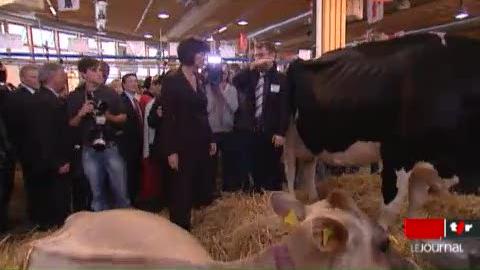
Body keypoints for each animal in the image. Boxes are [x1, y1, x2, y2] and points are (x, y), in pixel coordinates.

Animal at [286, 32, 480, 228]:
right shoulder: (396, 154)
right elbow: (390, 206)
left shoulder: (422, 162)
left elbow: (416, 204)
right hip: (288, 137)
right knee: (290, 170)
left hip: (310, 140)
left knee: (309, 166)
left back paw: (313, 199)